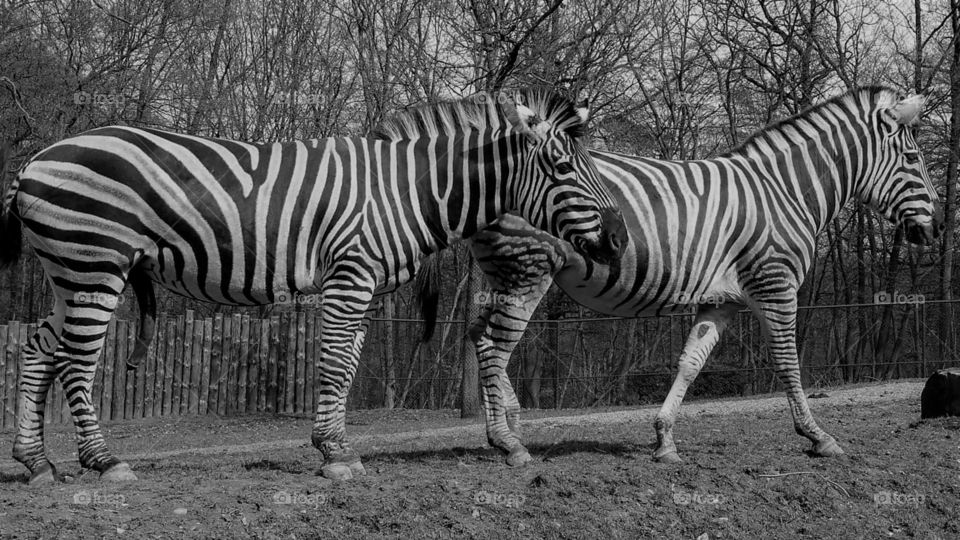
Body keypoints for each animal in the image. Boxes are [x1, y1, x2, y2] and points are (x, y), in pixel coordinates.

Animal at [0, 88, 627, 484]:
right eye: (564, 168)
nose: (620, 239)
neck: (406, 190)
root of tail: (35, 160)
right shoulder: (350, 275)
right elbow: (333, 364)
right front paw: (335, 455)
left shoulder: (367, 285)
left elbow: (347, 365)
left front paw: (335, 447)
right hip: (94, 264)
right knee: (76, 361)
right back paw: (103, 463)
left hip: (69, 272)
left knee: (36, 351)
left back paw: (37, 464)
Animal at [417, 87, 942, 467]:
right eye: (913, 160)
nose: (937, 228)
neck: (785, 190)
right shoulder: (775, 284)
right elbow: (788, 363)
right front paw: (817, 436)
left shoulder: (722, 301)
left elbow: (691, 363)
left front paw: (664, 440)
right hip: (531, 269)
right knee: (493, 346)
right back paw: (507, 442)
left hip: (504, 274)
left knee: (478, 337)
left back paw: (510, 423)